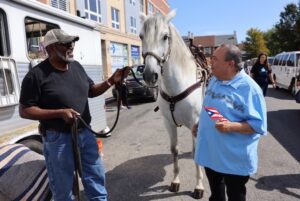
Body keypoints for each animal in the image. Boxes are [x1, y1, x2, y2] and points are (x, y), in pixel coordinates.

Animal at [140, 10, 206, 199]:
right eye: (141, 36)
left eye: (165, 37)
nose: (149, 75)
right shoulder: (168, 123)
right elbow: (174, 150)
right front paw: (175, 181)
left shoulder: (195, 123)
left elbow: (196, 153)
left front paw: (199, 186)